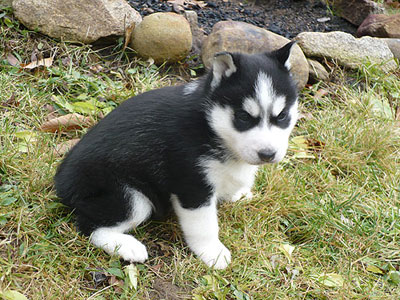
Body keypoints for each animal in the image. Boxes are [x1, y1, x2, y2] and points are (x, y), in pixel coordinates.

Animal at [55, 42, 300, 270]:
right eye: (243, 117)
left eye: (282, 116)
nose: (267, 154)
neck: (209, 125)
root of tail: (61, 181)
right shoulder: (192, 185)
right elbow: (204, 225)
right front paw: (212, 252)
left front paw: (238, 193)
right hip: (131, 198)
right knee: (89, 226)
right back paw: (127, 246)